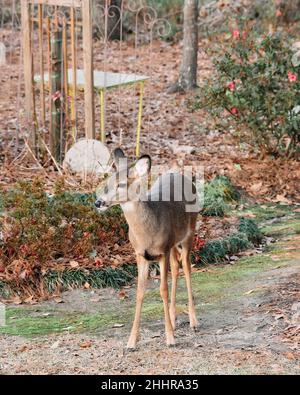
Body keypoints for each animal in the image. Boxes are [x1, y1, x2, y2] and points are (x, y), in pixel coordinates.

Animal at [96, 149, 199, 350]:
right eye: (107, 182)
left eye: (121, 184)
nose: (98, 202)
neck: (147, 233)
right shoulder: (140, 254)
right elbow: (139, 291)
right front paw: (131, 341)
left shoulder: (162, 252)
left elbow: (162, 290)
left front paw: (170, 338)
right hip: (173, 243)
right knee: (176, 266)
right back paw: (173, 318)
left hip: (189, 232)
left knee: (187, 267)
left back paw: (194, 321)